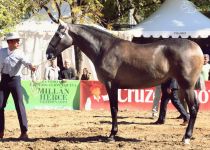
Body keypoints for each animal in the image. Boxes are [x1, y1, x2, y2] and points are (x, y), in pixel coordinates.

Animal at [45, 20, 203, 144]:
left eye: (57, 34)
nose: (48, 54)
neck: (104, 48)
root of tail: (197, 49)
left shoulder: (111, 85)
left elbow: (114, 109)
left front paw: (112, 135)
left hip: (187, 86)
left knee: (193, 108)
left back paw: (186, 137)